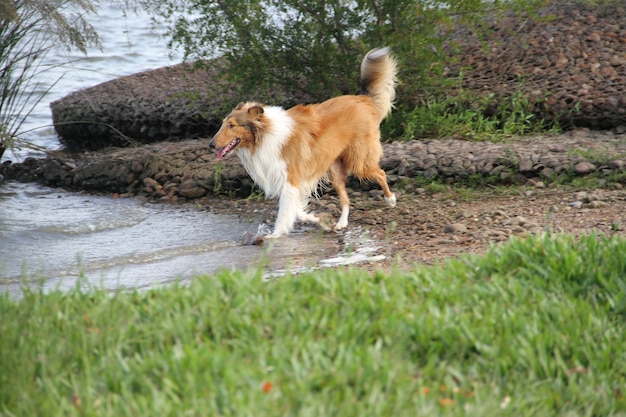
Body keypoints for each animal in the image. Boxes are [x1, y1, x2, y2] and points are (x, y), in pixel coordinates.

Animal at [210, 48, 394, 237]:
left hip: (358, 161)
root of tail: (363, 99)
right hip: (334, 169)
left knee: (380, 173)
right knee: (345, 199)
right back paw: (341, 223)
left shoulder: (290, 179)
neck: (264, 136)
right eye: (224, 123)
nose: (211, 145)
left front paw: (274, 235)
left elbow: (285, 212)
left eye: (232, 125)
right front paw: (320, 220)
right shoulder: (290, 183)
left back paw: (390, 199)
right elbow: (296, 210)